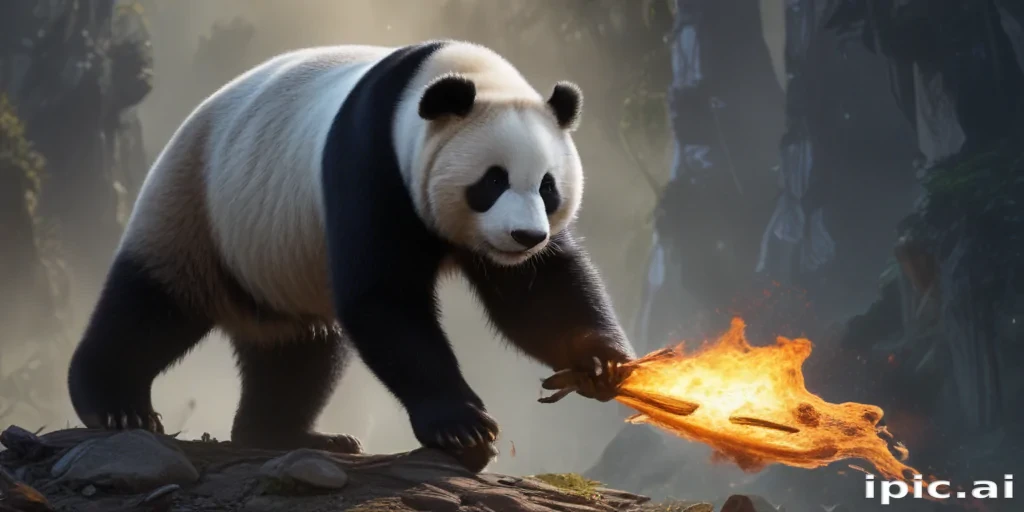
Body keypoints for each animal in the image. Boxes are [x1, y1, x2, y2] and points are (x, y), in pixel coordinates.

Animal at [67, 40, 635, 472]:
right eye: (492, 181)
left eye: (548, 187)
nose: (525, 236)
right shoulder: (370, 162)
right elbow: (383, 300)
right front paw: (465, 428)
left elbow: (539, 296)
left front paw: (601, 362)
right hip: (197, 211)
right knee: (150, 307)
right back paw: (116, 407)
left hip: (279, 266)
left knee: (302, 350)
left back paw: (285, 433)